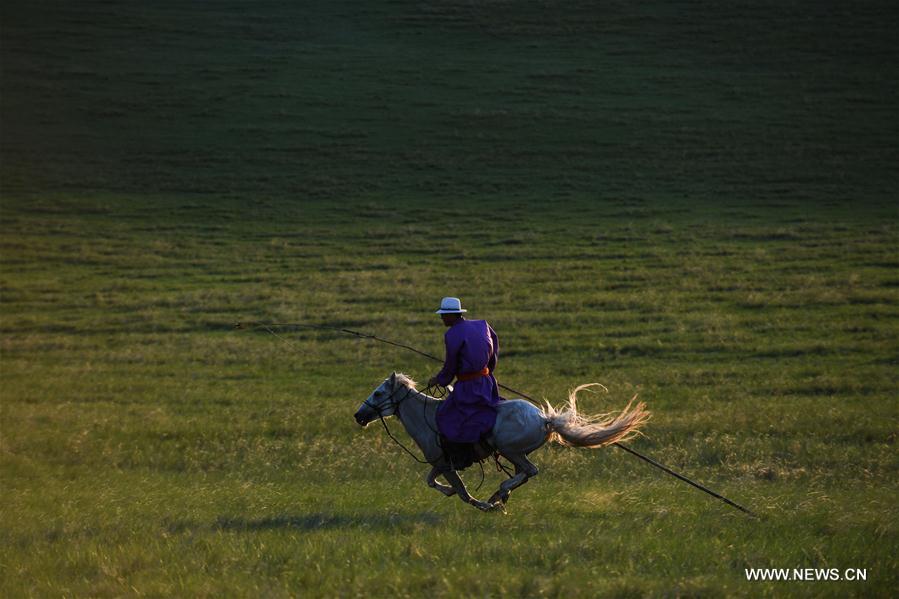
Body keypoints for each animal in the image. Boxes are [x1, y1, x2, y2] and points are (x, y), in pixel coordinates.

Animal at [352, 372, 648, 512]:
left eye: (378, 393)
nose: (358, 416)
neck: (428, 418)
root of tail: (544, 418)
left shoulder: (446, 464)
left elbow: (462, 492)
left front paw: (485, 506)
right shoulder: (440, 463)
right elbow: (431, 481)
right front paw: (451, 493)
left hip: (509, 450)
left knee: (529, 471)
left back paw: (499, 493)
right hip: (513, 454)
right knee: (524, 474)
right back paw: (503, 493)